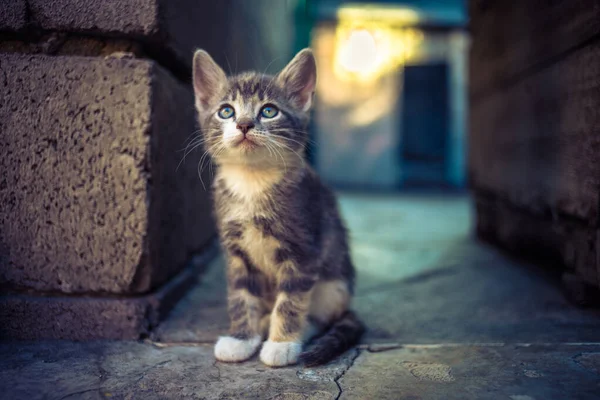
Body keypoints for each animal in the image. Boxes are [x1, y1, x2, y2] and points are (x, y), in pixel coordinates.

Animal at [192, 47, 364, 366]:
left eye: (269, 111)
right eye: (226, 111)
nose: (244, 124)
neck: (251, 181)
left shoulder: (303, 247)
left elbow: (291, 300)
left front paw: (282, 344)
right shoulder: (235, 250)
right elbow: (241, 296)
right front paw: (241, 338)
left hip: (334, 284)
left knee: (324, 316)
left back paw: (297, 329)